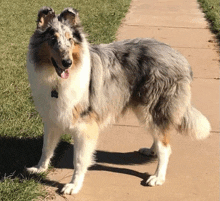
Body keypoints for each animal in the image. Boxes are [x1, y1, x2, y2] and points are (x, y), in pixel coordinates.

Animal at [26, 7, 211, 194]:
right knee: (159, 137)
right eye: (52, 40)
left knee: (165, 147)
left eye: (70, 40)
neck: (56, 79)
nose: (67, 63)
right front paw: (39, 169)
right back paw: (151, 151)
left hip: (153, 107)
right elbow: (46, 148)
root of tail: (179, 57)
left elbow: (79, 160)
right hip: (145, 110)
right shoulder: (52, 118)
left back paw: (158, 177)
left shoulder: (85, 126)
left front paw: (73, 186)